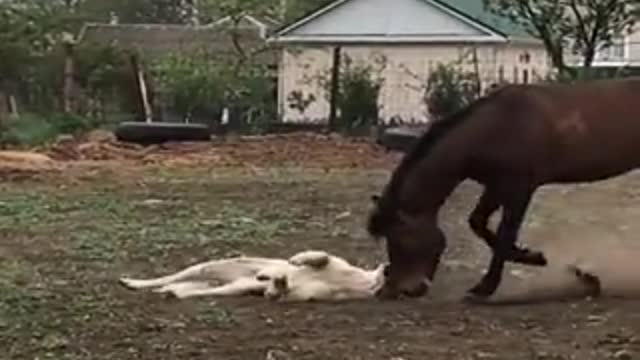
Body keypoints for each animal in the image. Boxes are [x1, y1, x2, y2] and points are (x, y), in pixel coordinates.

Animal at [368, 79, 640, 300]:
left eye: (401, 240)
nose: (397, 290)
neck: (495, 128)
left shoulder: (519, 189)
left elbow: (505, 233)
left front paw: (484, 288)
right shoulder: (496, 186)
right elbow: (478, 223)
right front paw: (537, 258)